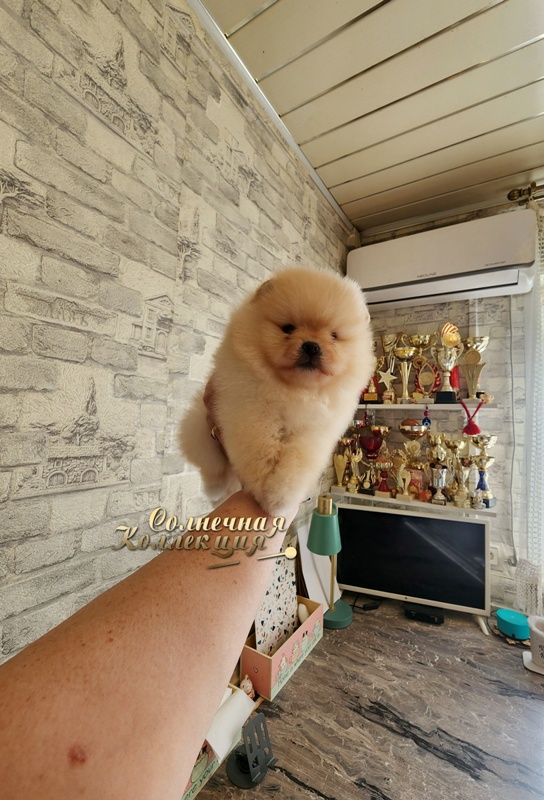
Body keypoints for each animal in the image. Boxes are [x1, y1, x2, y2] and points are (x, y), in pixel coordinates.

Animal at [179, 265, 373, 516]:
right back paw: (217, 489)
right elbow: (261, 450)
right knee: (213, 468)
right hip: (197, 429)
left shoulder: (315, 432)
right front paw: (265, 491)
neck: (293, 391)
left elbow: (297, 463)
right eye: (288, 328)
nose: (312, 346)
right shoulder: (248, 408)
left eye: (334, 336)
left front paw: (280, 498)